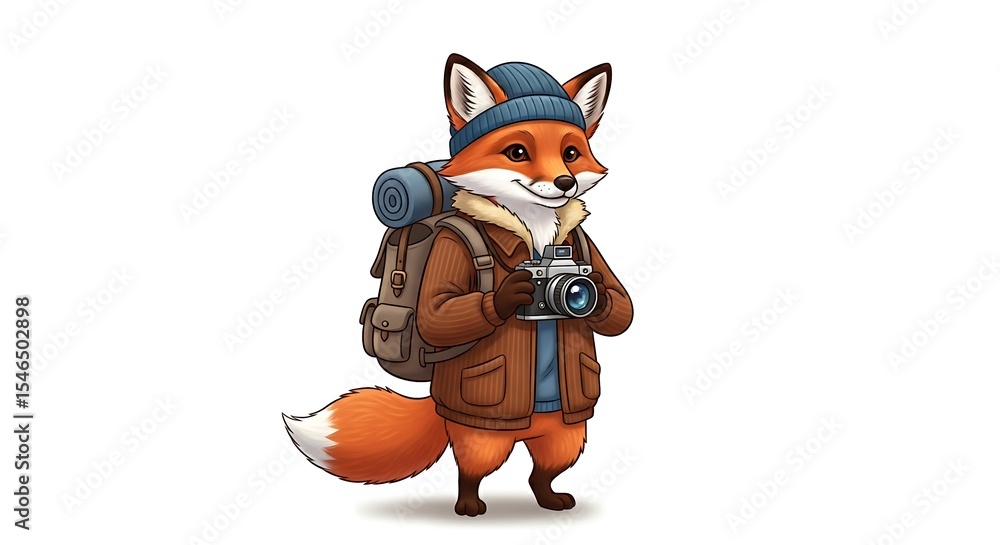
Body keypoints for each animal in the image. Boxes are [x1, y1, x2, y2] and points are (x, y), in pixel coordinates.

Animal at [284, 54, 632, 517]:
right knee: (473, 466)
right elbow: (439, 312)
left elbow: (621, 304)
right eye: (517, 152)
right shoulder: (452, 247)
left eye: (571, 154)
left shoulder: (586, 249)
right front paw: (508, 295)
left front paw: (596, 301)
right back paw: (469, 504)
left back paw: (550, 497)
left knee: (544, 468)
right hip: (483, 434)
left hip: (565, 430)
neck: (537, 234)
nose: (565, 183)